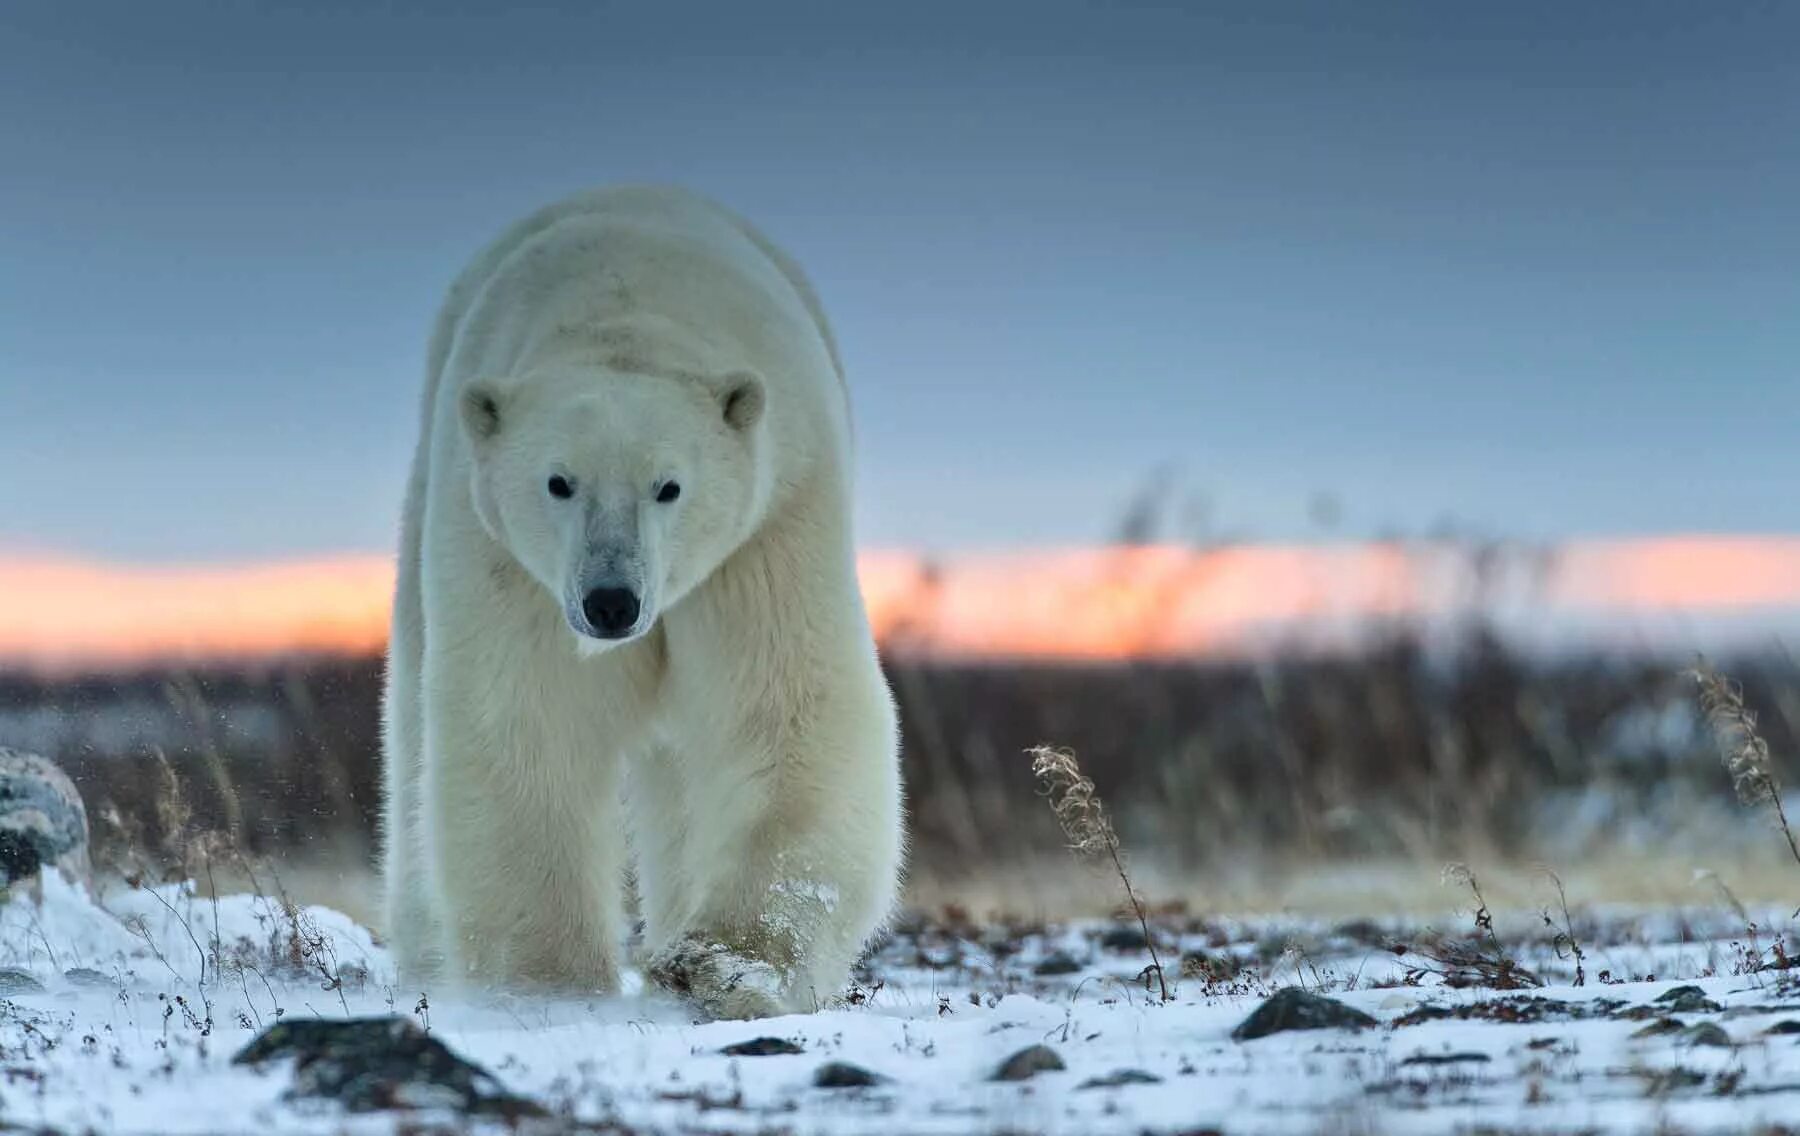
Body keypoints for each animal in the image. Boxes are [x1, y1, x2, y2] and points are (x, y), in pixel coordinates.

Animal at [385, 186, 907, 1022]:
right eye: (559, 481)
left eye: (670, 486)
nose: (611, 603)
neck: (627, 315)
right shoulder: (505, 556)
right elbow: (531, 723)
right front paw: (547, 984)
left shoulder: (773, 518)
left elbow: (787, 712)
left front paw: (726, 966)